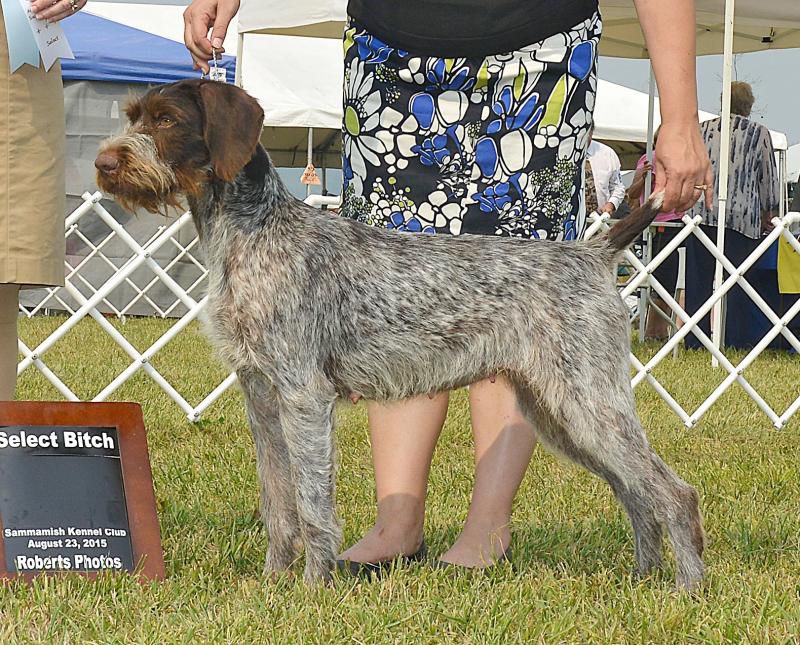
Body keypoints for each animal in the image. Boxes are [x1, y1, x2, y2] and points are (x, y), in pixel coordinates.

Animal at [97, 78, 704, 588]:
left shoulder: (303, 393)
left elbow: (311, 501)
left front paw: (312, 588)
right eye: (132, 116)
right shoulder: (260, 393)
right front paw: (272, 582)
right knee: (636, 493)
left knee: (674, 493)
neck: (252, 232)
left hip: (586, 403)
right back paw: (643, 579)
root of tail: (593, 253)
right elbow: (277, 503)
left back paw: (686, 589)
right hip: (557, 411)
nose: (104, 163)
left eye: (168, 119)